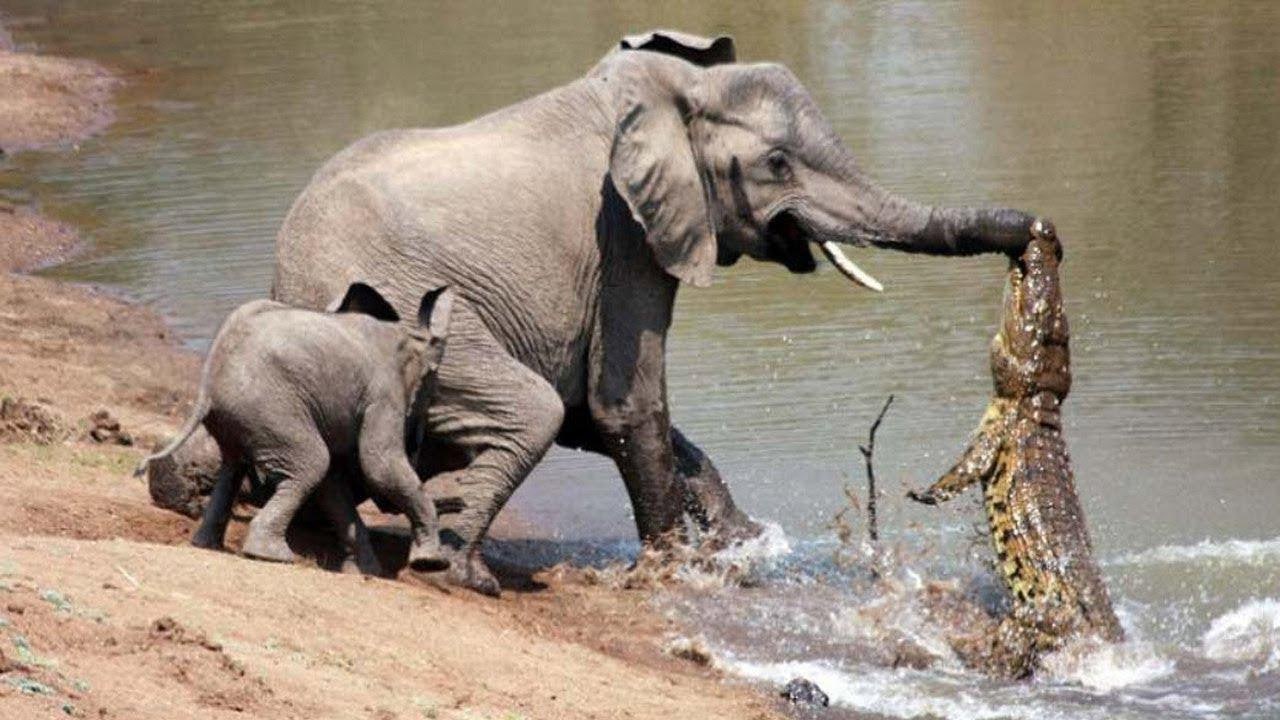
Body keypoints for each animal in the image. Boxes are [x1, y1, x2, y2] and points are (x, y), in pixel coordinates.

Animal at [135, 280, 453, 571]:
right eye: (430, 391)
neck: (410, 335)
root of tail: (208, 381)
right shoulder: (383, 395)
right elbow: (378, 466)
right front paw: (431, 563)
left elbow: (334, 484)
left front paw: (367, 572)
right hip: (270, 407)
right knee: (311, 462)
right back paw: (272, 556)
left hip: (244, 415)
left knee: (235, 466)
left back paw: (207, 545)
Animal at [272, 30, 1039, 594]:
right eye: (779, 164)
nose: (1037, 236)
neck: (668, 92)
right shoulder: (625, 232)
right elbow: (623, 404)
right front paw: (682, 573)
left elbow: (598, 413)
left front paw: (747, 549)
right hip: (407, 316)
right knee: (529, 411)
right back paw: (461, 573)